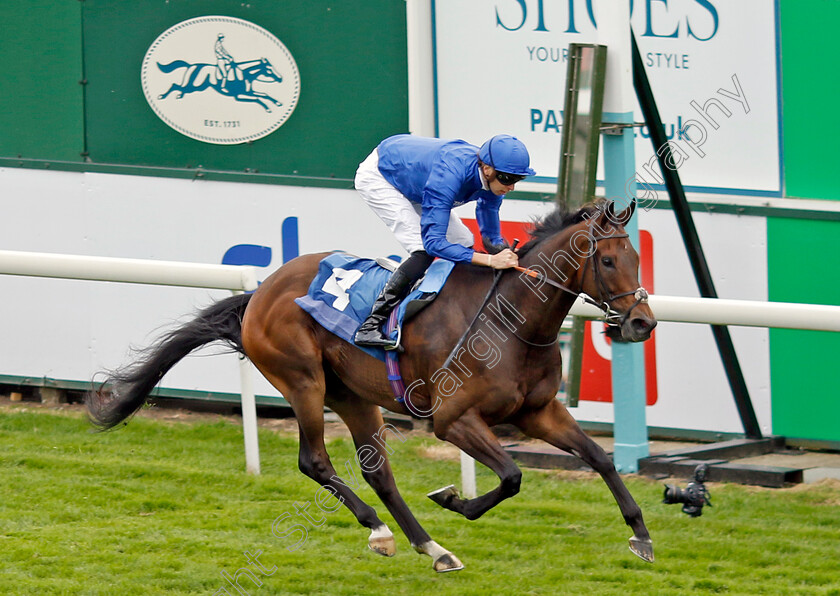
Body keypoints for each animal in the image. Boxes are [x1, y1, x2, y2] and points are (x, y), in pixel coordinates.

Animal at [90, 199, 656, 572]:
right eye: (608, 260)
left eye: (636, 258)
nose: (642, 323)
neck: (511, 321)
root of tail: (260, 292)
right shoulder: (452, 420)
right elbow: (513, 476)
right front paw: (453, 499)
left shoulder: (538, 412)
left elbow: (599, 458)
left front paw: (642, 536)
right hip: (304, 380)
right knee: (314, 461)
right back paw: (381, 529)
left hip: (355, 396)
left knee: (378, 473)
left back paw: (433, 549)